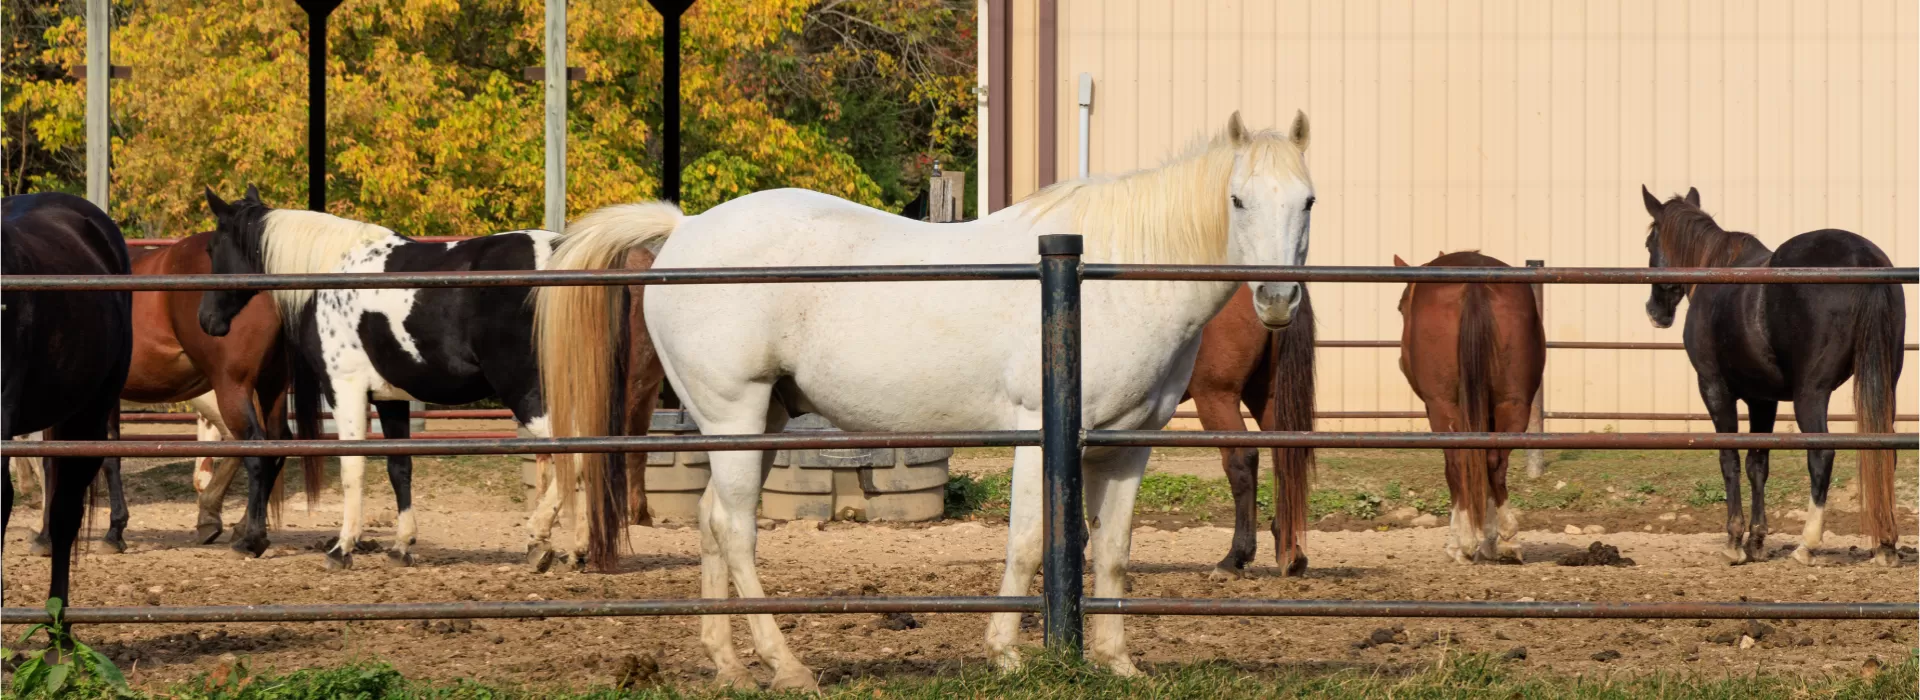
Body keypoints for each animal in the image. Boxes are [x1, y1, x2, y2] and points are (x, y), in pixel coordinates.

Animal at [195, 187, 574, 571]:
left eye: (212, 249)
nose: (207, 320)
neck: (331, 274)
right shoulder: (391, 398)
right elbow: (399, 467)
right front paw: (401, 545)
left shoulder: (344, 388)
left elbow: (353, 467)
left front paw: (342, 548)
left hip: (528, 392)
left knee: (571, 453)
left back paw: (539, 538)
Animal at [1185, 286, 1317, 579]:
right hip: (1267, 395)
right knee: (1285, 457)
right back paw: (1290, 553)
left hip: (1216, 396)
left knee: (1241, 460)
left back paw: (1233, 559)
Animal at [1392, 251, 1543, 564]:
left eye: (1401, 307)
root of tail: (1474, 284)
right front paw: (1490, 539)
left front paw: (1462, 542)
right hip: (1513, 403)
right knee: (1495, 464)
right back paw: (1508, 539)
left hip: (1443, 408)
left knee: (1458, 463)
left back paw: (1462, 543)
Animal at [1639, 186, 1905, 566]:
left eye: (1650, 242)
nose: (1655, 312)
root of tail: (1863, 259)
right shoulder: (1762, 399)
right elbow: (1758, 464)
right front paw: (1757, 540)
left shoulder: (1715, 389)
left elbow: (1730, 459)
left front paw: (1735, 542)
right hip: (1886, 383)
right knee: (1886, 450)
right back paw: (1885, 545)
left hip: (1811, 393)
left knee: (1821, 455)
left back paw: (1807, 545)